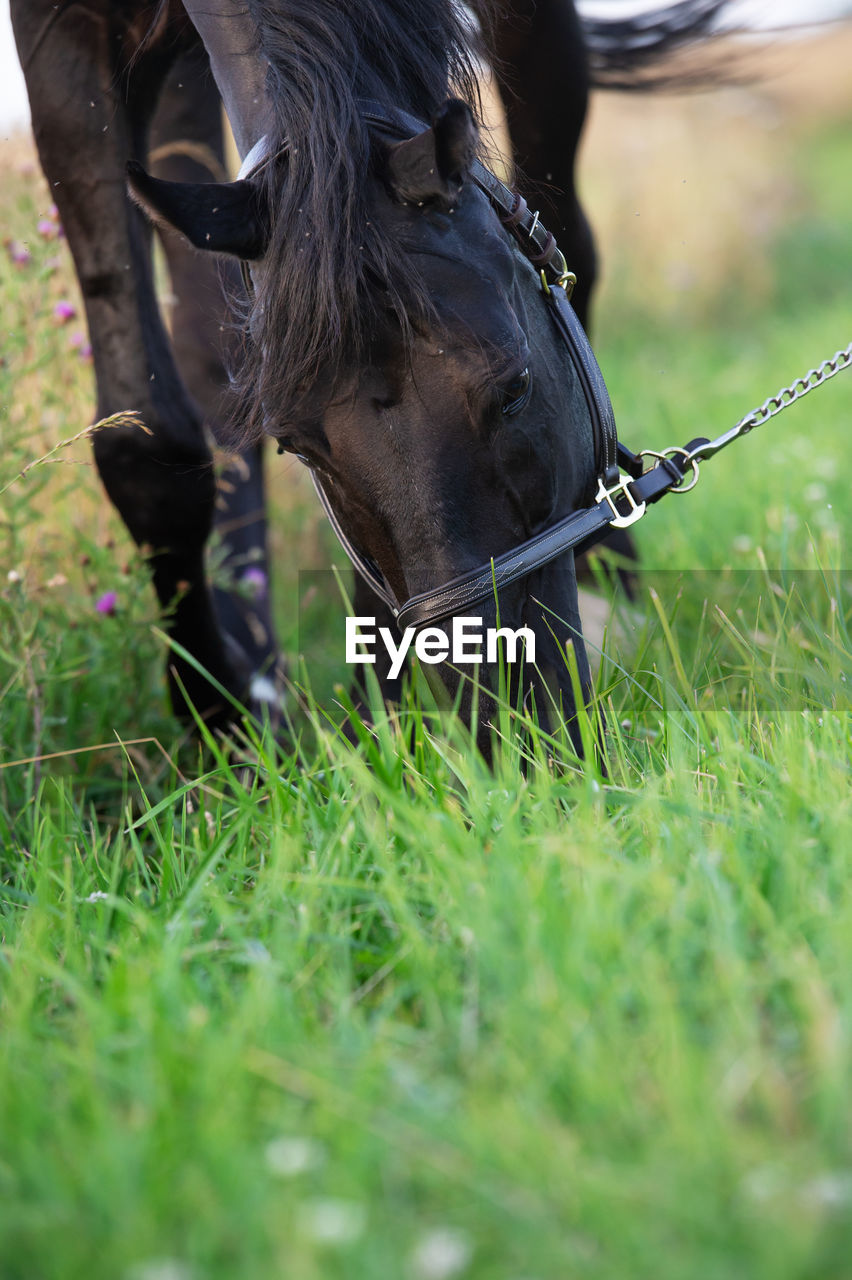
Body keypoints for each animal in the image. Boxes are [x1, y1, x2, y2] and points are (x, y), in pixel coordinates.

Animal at [9, 0, 726, 752]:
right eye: (300, 447)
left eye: (515, 390)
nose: (509, 727)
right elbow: (145, 447)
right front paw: (222, 722)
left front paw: (377, 717)